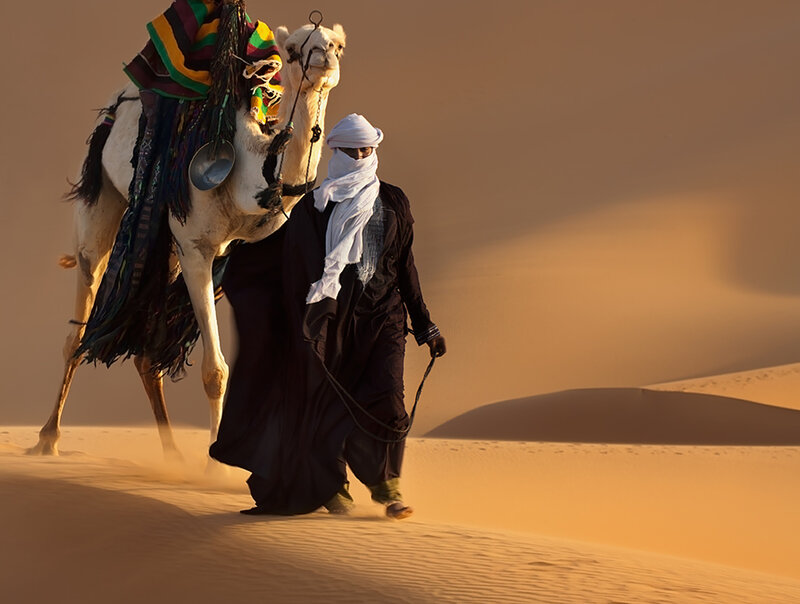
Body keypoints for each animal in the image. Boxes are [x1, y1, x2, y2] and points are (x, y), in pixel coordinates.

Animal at [28, 19, 346, 457]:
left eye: (337, 45)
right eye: (294, 49)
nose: (323, 59)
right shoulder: (197, 248)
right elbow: (215, 371)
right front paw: (215, 464)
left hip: (166, 250)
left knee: (146, 356)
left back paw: (172, 454)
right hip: (101, 201)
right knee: (79, 326)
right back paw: (48, 437)